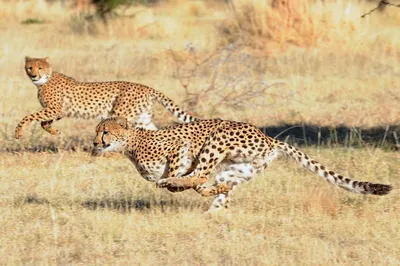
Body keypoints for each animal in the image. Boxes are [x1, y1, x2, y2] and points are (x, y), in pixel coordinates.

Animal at [15, 56, 198, 139]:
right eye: (30, 67)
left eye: (40, 67)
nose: (33, 75)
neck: (45, 79)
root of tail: (145, 87)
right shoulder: (59, 111)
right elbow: (43, 123)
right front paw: (55, 132)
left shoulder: (54, 109)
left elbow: (29, 117)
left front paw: (18, 132)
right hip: (142, 118)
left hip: (121, 114)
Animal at [92, 117, 392, 211]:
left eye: (104, 131)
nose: (94, 143)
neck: (130, 144)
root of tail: (269, 138)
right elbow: (197, 183)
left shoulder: (180, 147)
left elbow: (183, 173)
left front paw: (173, 181)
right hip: (239, 167)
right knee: (217, 185)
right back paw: (215, 205)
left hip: (218, 137)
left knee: (201, 177)